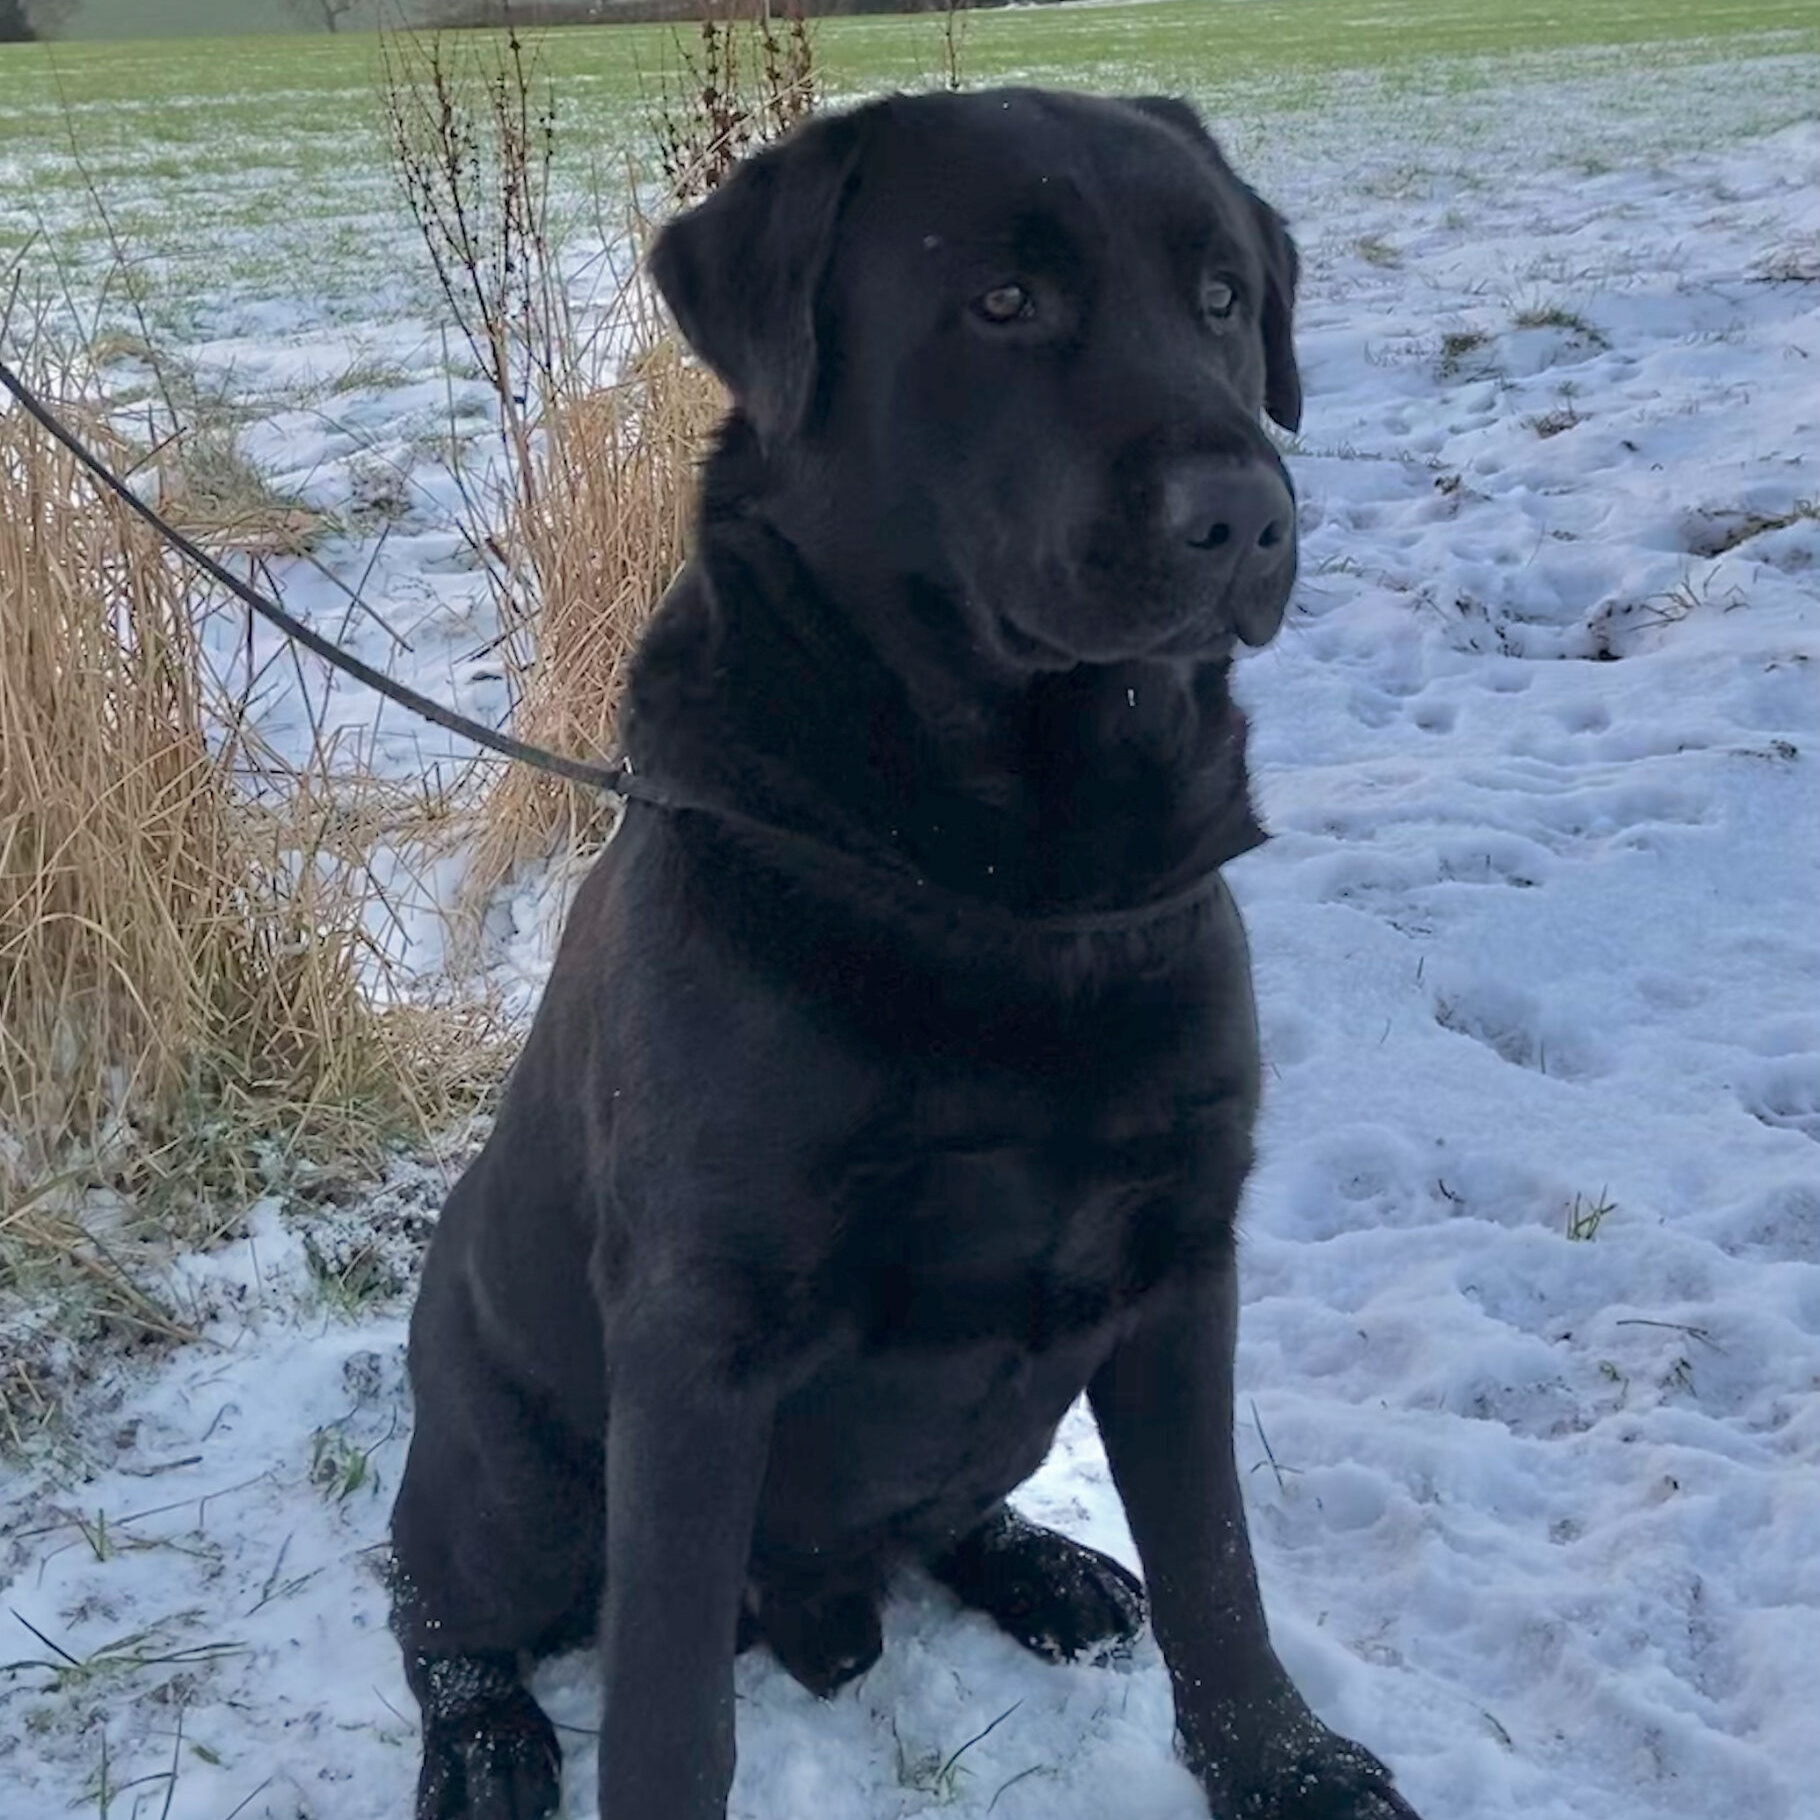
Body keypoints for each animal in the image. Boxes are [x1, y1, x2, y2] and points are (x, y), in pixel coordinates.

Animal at [391, 92, 1426, 1820]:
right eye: (1002, 301)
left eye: (1223, 296)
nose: (1247, 512)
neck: (1020, 890)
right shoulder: (697, 1335)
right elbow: (672, 1696)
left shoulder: (1180, 1256)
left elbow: (1217, 1565)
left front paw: (1288, 1769)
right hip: (511, 1480)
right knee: (430, 1597)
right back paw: (481, 1742)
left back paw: (1048, 1568)